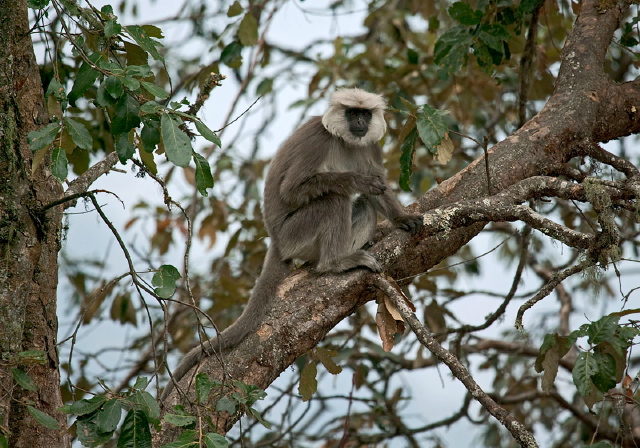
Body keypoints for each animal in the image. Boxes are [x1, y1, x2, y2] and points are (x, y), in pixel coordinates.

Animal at [162, 86, 422, 400]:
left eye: (365, 114)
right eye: (352, 113)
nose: (359, 122)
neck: (344, 141)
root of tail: (276, 240)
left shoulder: (369, 146)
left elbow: (378, 191)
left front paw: (401, 218)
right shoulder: (318, 139)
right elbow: (293, 190)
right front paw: (356, 180)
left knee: (363, 205)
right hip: (296, 233)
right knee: (335, 199)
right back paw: (335, 263)